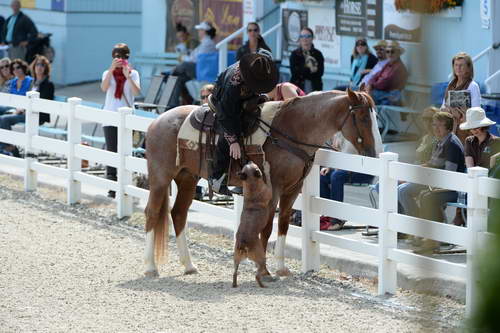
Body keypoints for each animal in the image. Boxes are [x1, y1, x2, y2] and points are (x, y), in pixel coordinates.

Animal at [143, 87, 376, 278]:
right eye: (363, 117)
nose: (373, 152)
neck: (291, 129)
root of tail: (157, 121)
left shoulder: (293, 189)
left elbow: (283, 224)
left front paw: (281, 268)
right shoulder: (274, 189)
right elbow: (266, 226)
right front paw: (263, 269)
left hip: (187, 178)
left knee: (178, 214)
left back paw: (189, 266)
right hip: (160, 178)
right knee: (152, 213)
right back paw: (150, 267)